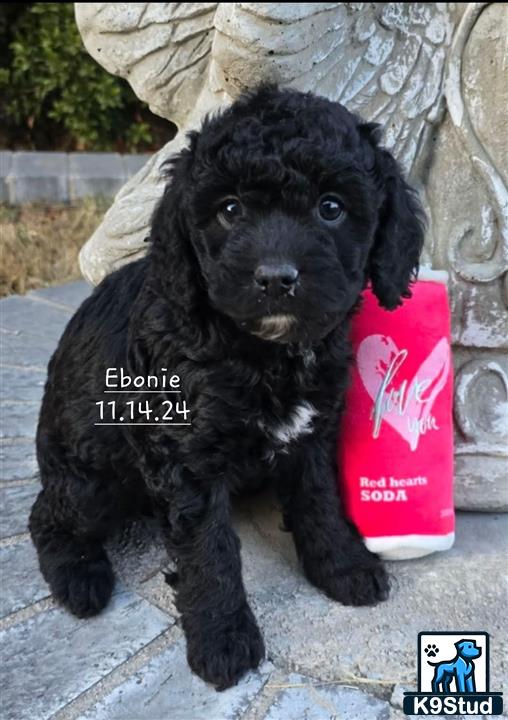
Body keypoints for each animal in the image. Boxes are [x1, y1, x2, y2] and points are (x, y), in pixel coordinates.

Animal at [28, 87, 424, 688]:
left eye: (331, 207)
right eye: (230, 209)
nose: (277, 278)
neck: (261, 352)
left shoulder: (311, 434)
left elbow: (320, 500)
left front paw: (343, 566)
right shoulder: (185, 456)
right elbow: (208, 552)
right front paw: (224, 638)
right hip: (91, 477)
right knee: (45, 515)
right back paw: (80, 578)